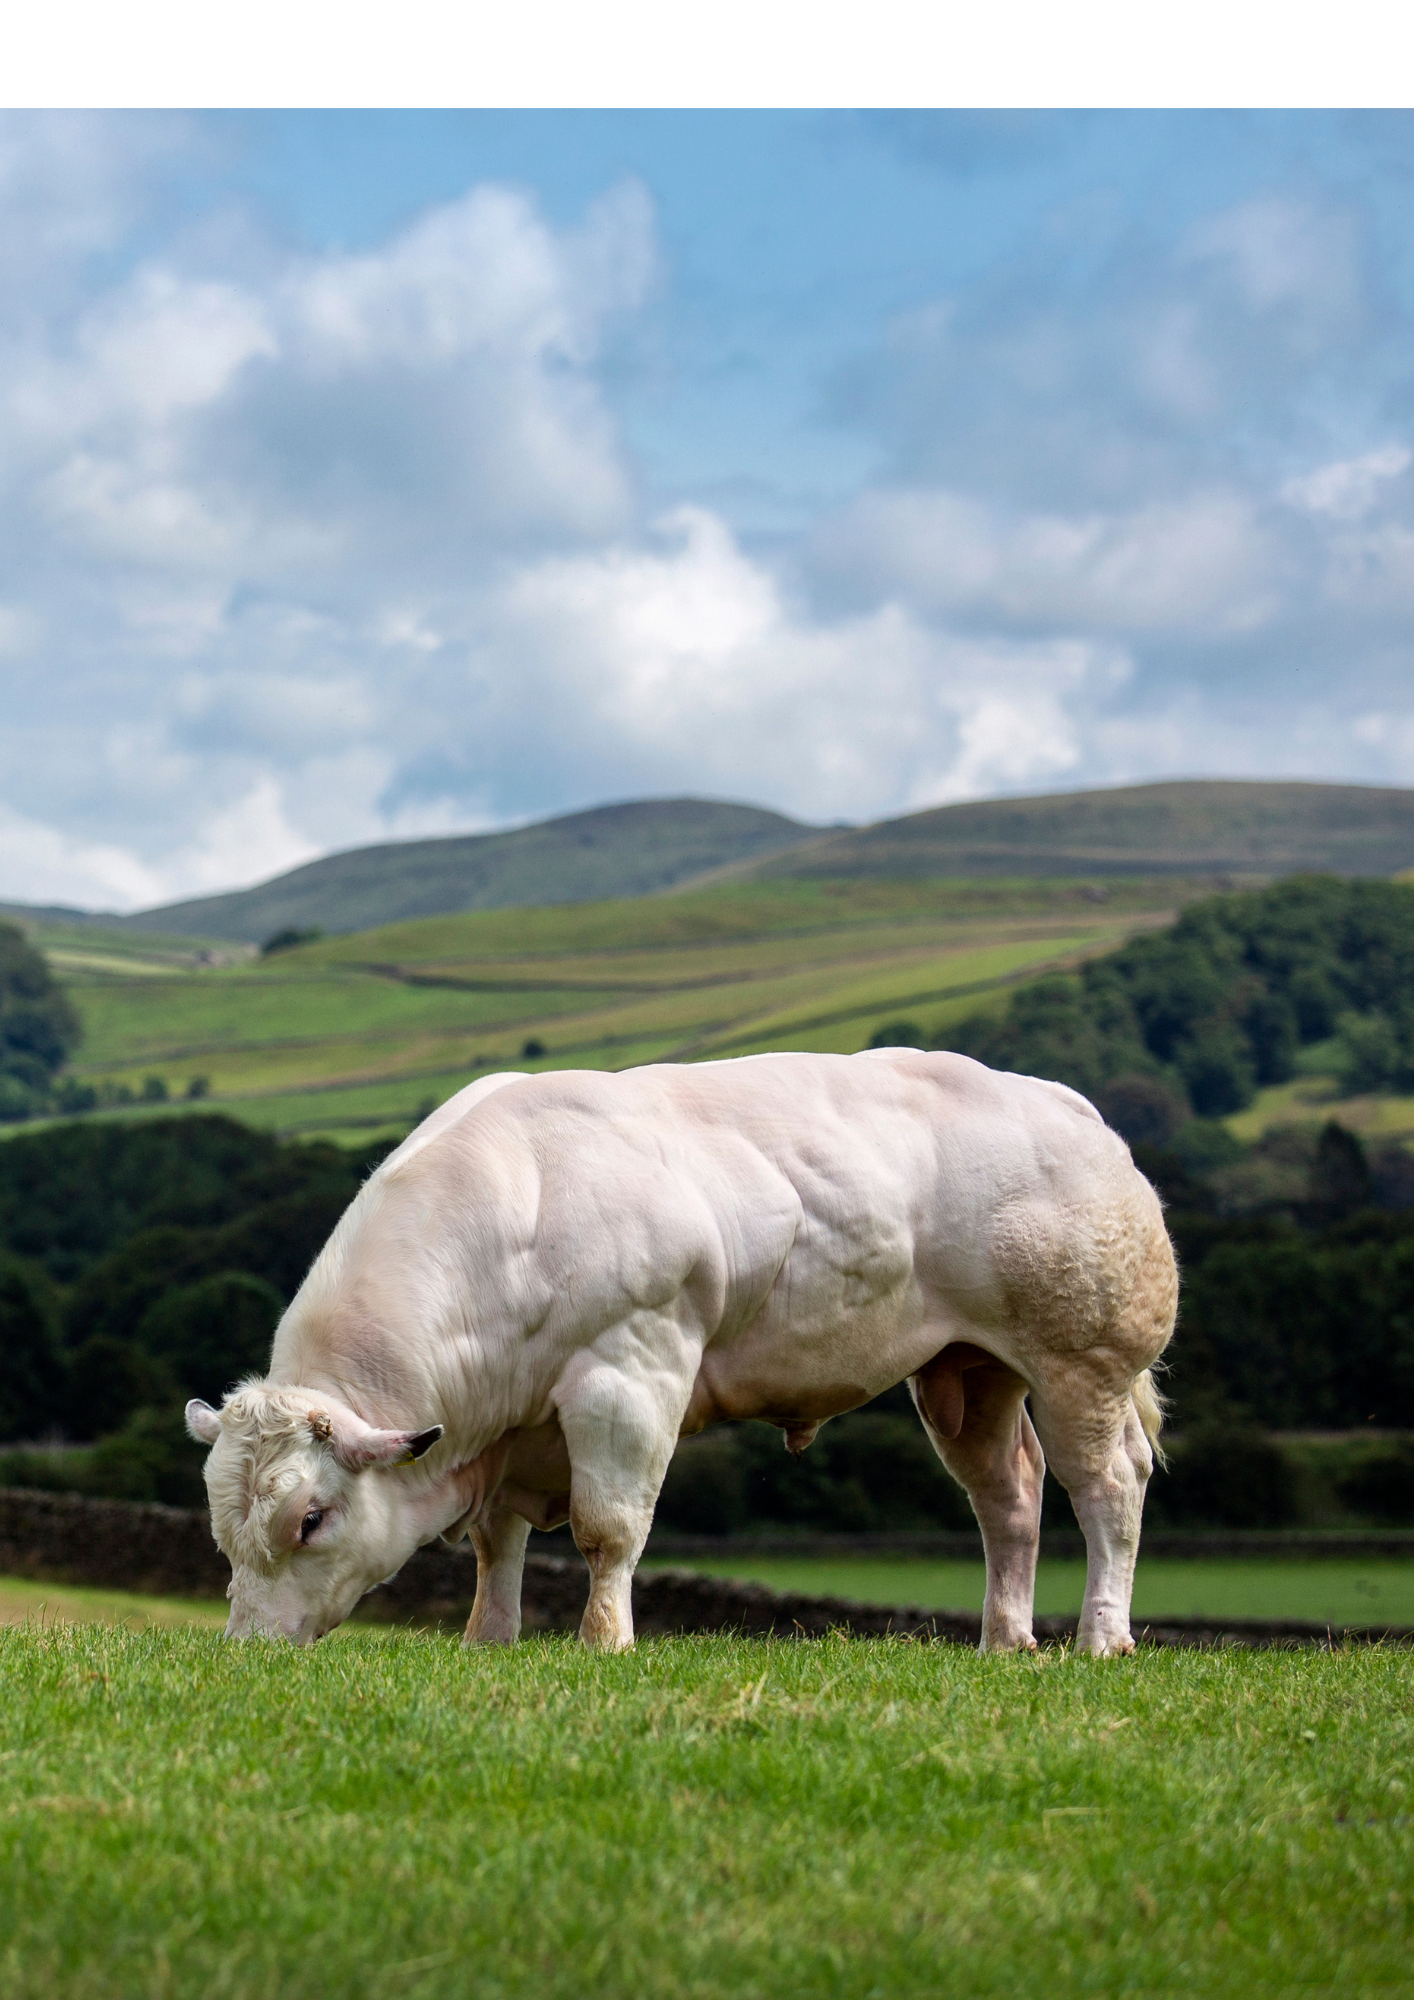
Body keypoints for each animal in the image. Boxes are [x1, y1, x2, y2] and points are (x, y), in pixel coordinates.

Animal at [185, 1050, 1177, 1656]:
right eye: (222, 1533)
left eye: (310, 1519)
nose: (250, 1651)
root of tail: (1070, 1106)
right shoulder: (512, 1429)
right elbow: (496, 1543)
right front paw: (488, 1639)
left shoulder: (628, 1371)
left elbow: (608, 1527)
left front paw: (605, 1640)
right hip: (967, 1374)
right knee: (1009, 1497)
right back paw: (1005, 1640)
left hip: (1081, 1363)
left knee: (1108, 1490)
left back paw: (1102, 1636)